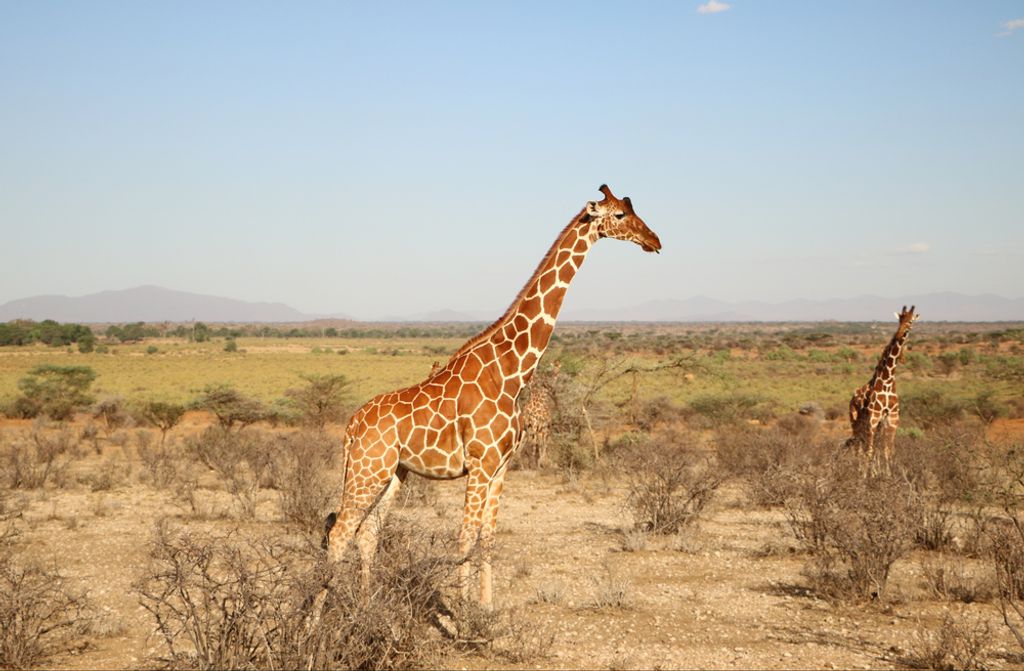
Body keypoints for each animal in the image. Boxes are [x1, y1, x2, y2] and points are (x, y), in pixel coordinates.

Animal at [325, 185, 661, 606]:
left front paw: (486, 607)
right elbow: (465, 536)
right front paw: (460, 610)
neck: (511, 372)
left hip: (392, 473)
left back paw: (366, 607)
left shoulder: (501, 467)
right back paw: (318, 617)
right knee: (339, 532)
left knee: (367, 532)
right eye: (619, 215)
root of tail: (351, 425)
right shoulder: (480, 465)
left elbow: (487, 536)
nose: (655, 241)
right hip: (367, 469)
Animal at [847, 305, 919, 474]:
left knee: (865, 446)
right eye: (900, 319)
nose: (899, 333)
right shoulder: (873, 418)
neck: (887, 382)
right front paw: (867, 476)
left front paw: (887, 474)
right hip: (856, 422)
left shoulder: (892, 419)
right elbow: (870, 450)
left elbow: (887, 450)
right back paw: (858, 471)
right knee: (859, 447)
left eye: (910, 321)